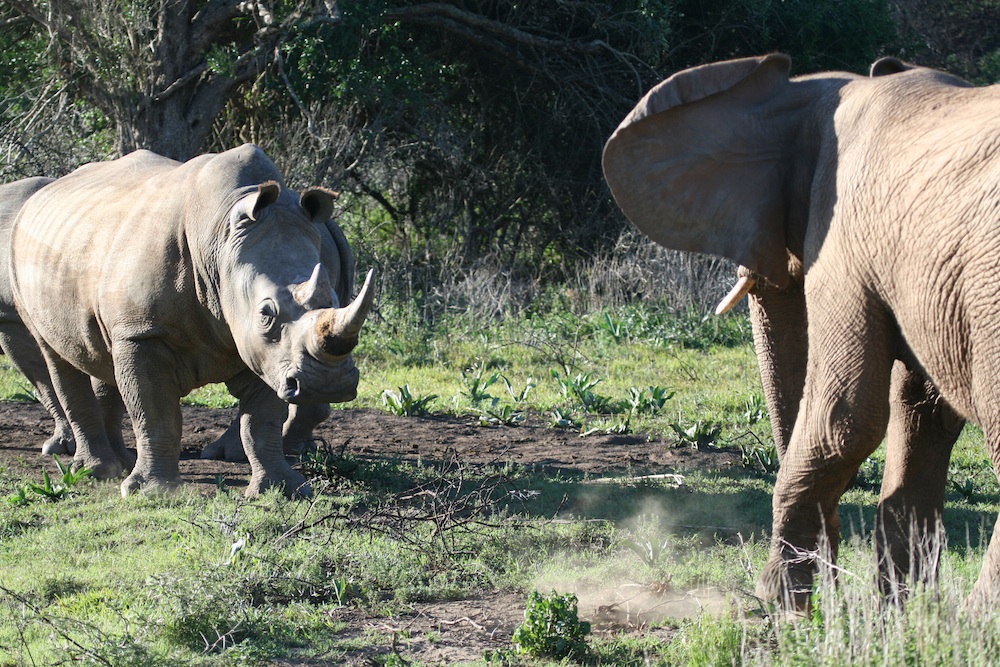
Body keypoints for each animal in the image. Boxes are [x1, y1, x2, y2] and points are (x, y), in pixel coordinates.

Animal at [600, 54, 1000, 608]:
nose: (831, 581)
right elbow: (922, 413)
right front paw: (903, 614)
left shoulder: (844, 247)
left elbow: (846, 415)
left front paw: (778, 599)